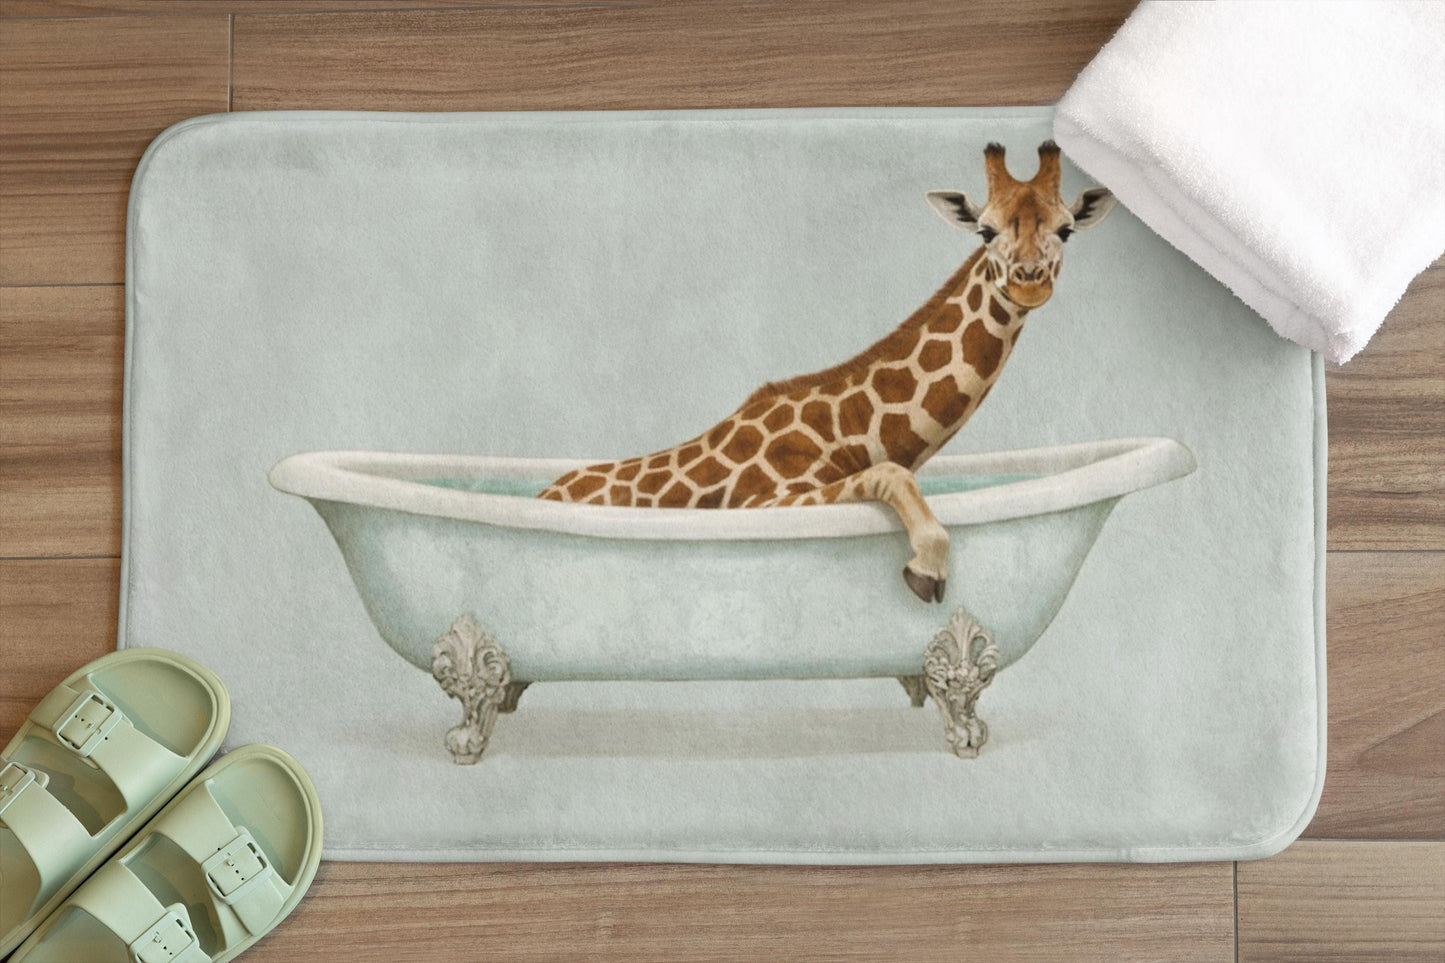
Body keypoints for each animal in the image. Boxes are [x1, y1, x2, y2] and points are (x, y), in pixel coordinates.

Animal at [540, 141, 1117, 602]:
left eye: (1066, 229)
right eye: (984, 230)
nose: (1028, 282)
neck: (846, 431)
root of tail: (545, 492)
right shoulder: (763, 503)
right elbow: (892, 473)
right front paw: (926, 568)